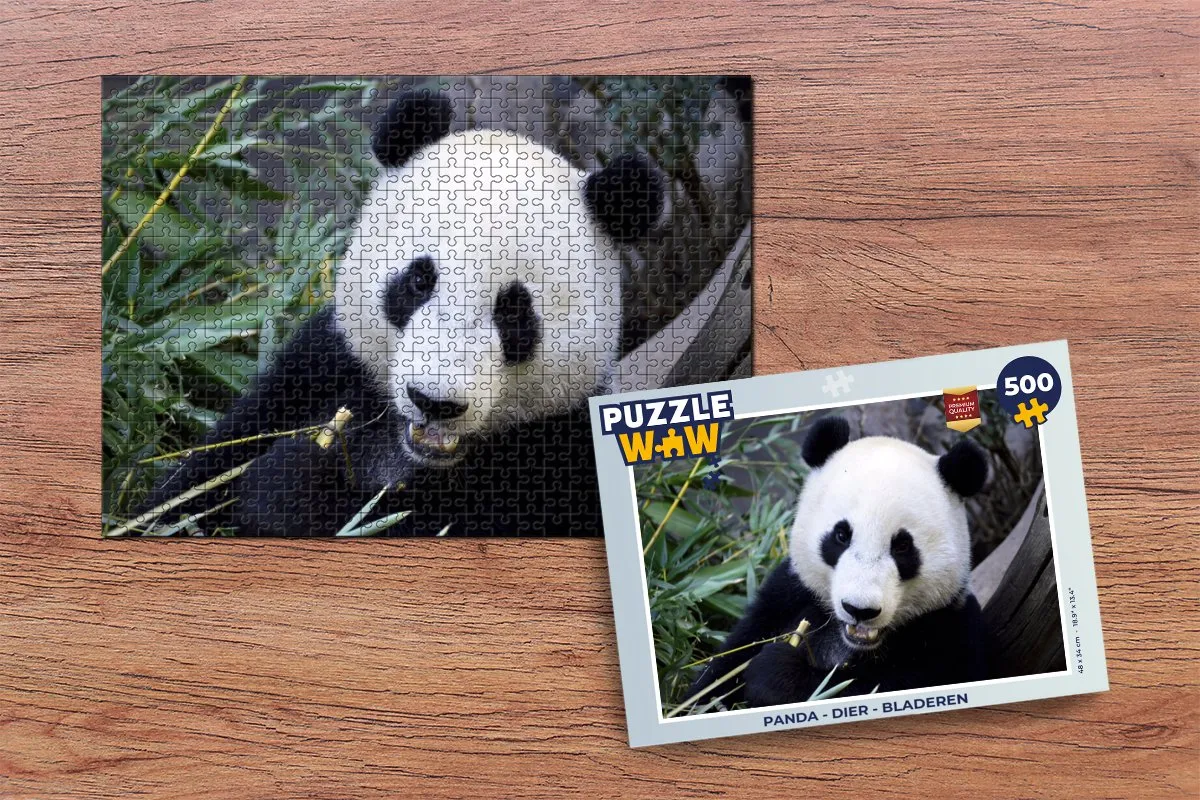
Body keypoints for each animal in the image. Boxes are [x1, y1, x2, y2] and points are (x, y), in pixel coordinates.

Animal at [143, 89, 664, 536]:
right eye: (418, 281)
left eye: (514, 314)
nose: (434, 402)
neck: (409, 450)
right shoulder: (325, 366)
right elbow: (200, 479)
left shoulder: (561, 457)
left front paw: (293, 481)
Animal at [688, 416, 990, 708]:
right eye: (841, 535)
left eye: (903, 546)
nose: (860, 609)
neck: (852, 642)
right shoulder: (787, 596)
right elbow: (724, 668)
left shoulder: (948, 635)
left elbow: (861, 688)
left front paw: (776, 672)